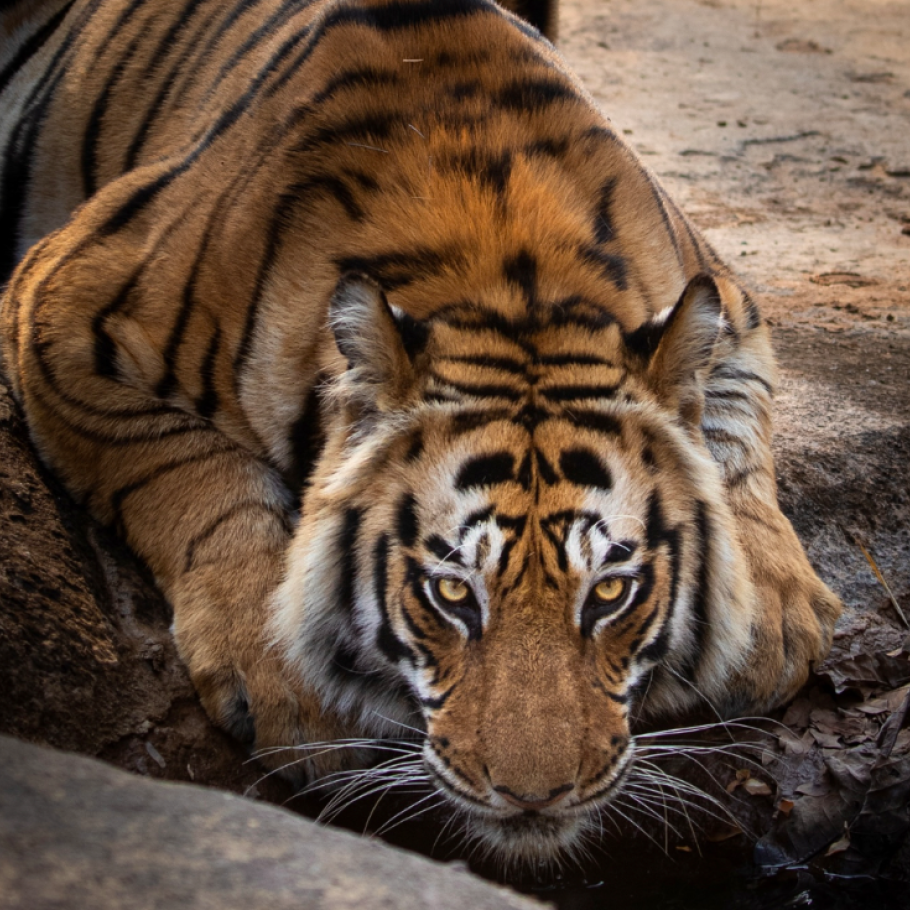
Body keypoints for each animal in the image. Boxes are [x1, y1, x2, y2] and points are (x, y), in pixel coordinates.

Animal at [0, 0, 844, 864]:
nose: (535, 795)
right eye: (451, 593)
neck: (511, 277)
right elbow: (188, 476)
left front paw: (768, 619)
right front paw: (287, 682)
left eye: (610, 592)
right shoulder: (64, 305)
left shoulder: (729, 306)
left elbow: (734, 443)